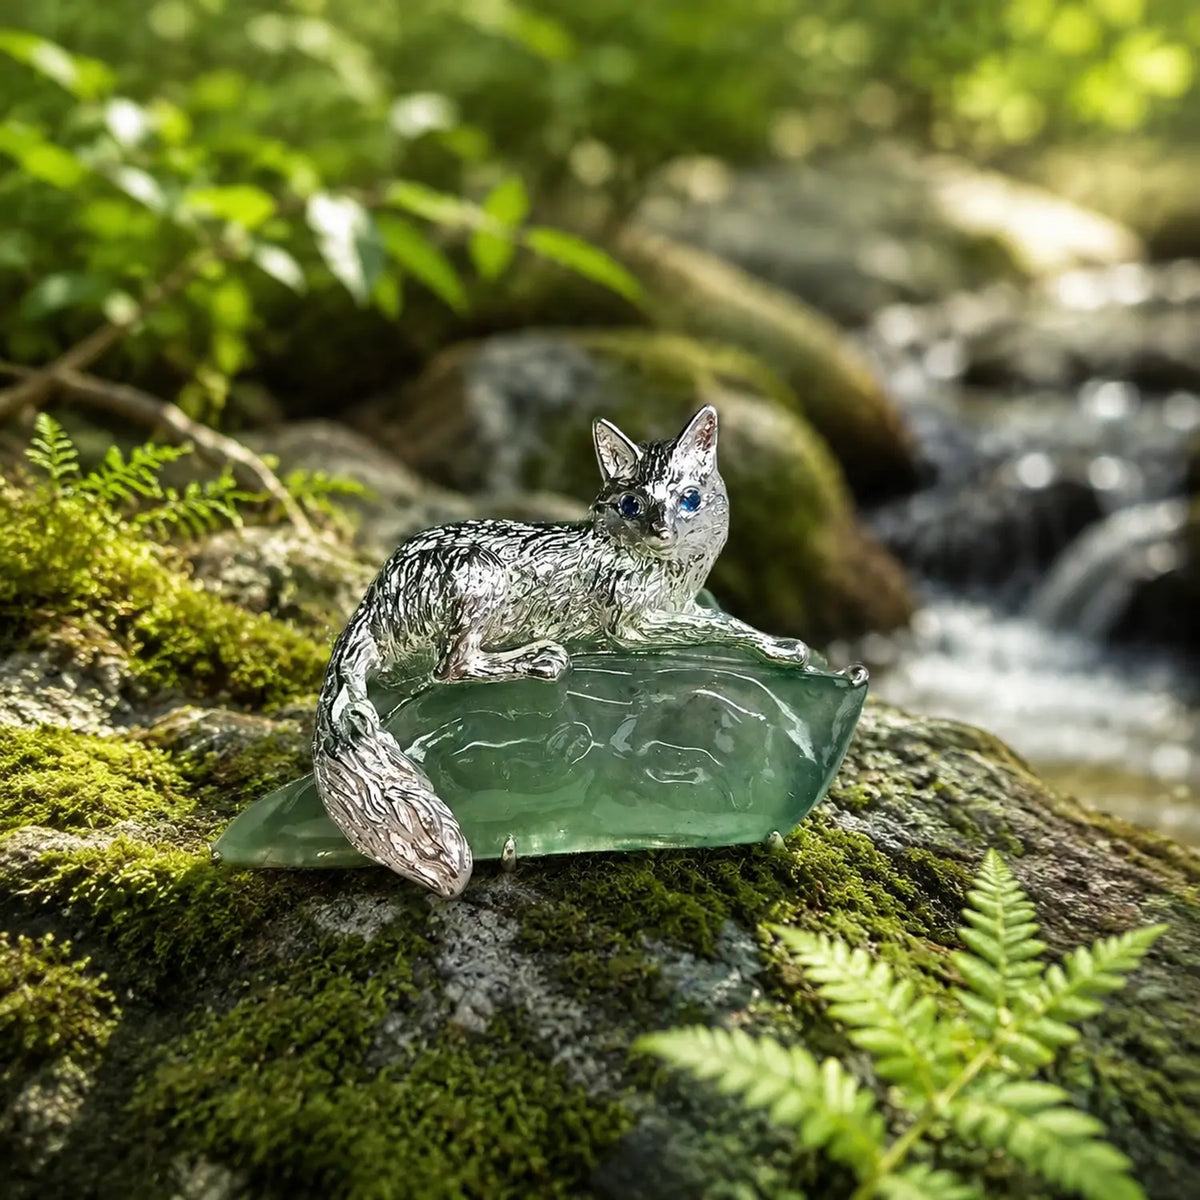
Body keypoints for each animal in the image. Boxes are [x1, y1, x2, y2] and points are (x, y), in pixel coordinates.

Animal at [312, 405, 815, 897]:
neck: (664, 569)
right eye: (632, 504)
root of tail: (374, 601)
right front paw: (779, 648)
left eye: (689, 499)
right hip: (481, 575)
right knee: (450, 666)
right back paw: (537, 659)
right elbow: (722, 624)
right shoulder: (630, 626)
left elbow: (718, 617)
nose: (661, 531)